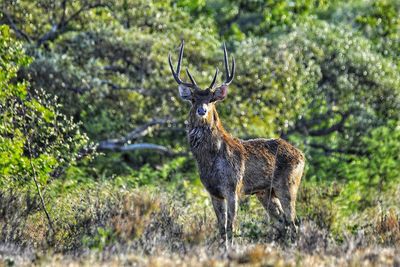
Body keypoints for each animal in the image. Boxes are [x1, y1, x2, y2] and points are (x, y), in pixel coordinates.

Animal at [168, 40, 304, 248]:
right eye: (193, 99)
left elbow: (231, 226)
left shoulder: (233, 186)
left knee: (293, 221)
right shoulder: (213, 191)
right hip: (266, 192)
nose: (202, 110)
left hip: (289, 184)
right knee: (282, 221)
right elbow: (221, 227)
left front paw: (230, 249)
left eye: (211, 99)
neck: (210, 160)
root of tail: (302, 156)